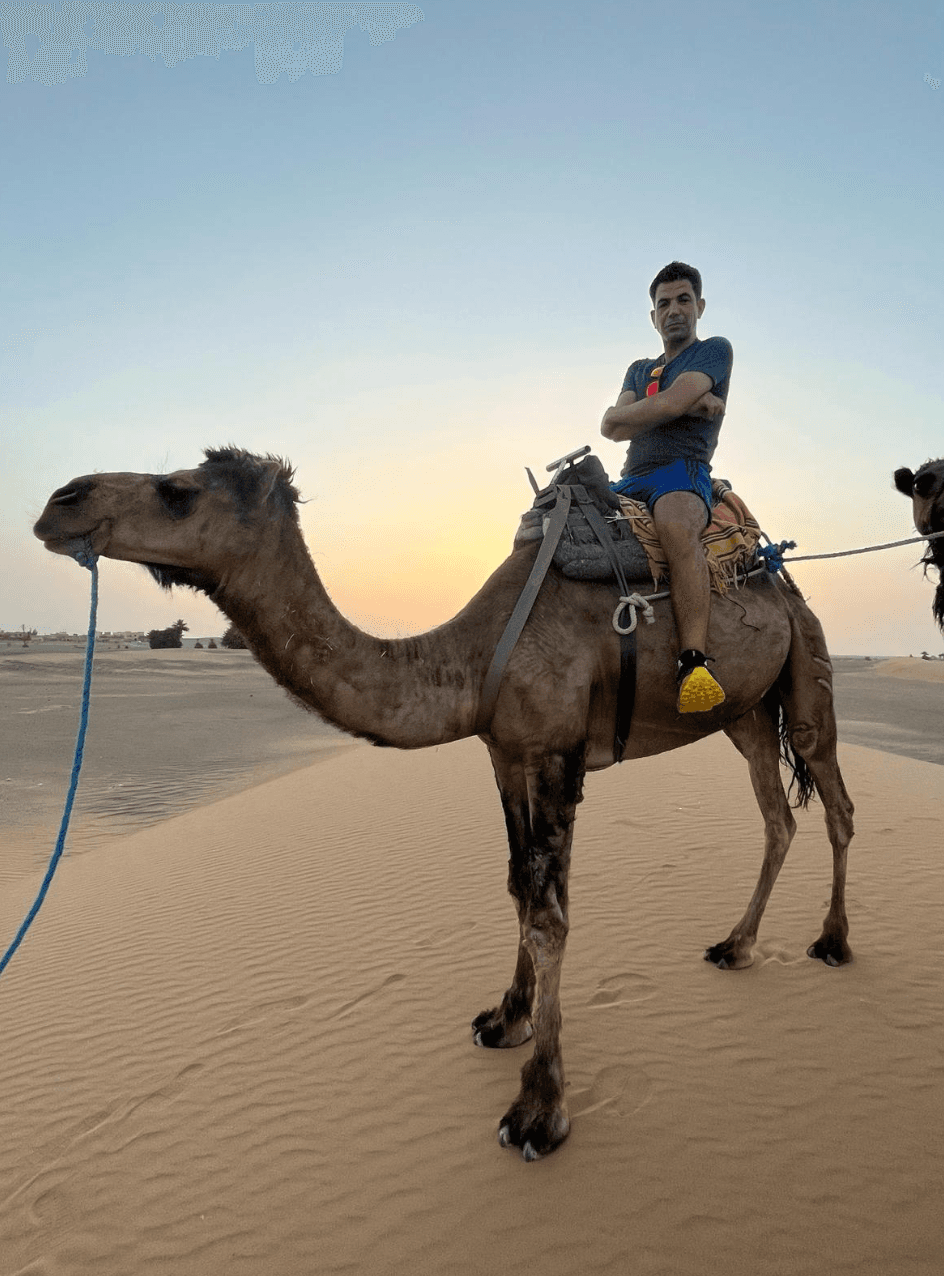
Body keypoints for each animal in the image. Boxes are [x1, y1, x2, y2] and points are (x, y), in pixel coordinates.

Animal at [33, 447, 855, 1160]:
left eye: (177, 490)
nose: (58, 503)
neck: (470, 654)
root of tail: (778, 576)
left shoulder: (555, 751)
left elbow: (551, 915)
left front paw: (539, 1110)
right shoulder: (506, 751)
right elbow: (520, 888)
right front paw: (504, 1019)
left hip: (806, 670)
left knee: (835, 804)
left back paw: (833, 942)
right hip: (747, 713)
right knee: (778, 816)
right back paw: (736, 946)